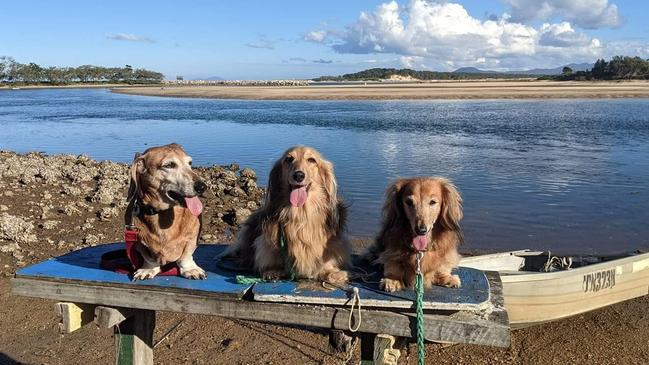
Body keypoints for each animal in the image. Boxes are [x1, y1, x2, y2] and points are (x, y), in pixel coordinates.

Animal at [125, 142, 206, 278]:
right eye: (169, 165)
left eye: (190, 163)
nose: (202, 187)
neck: (163, 212)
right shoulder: (138, 241)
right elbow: (149, 258)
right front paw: (148, 269)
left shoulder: (192, 237)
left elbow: (186, 256)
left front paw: (190, 269)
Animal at [227, 146, 350, 282]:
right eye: (289, 159)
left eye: (312, 160)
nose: (298, 175)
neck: (300, 213)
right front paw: (273, 270)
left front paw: (331, 272)